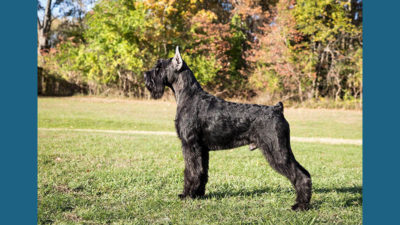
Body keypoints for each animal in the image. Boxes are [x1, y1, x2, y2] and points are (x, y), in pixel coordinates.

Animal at [144, 46, 312, 210]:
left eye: (159, 67)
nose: (145, 75)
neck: (188, 95)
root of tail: (277, 109)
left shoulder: (190, 145)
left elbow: (191, 171)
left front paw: (187, 195)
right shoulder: (202, 149)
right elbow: (201, 171)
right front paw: (198, 194)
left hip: (277, 150)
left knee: (301, 175)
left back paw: (300, 205)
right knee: (304, 172)